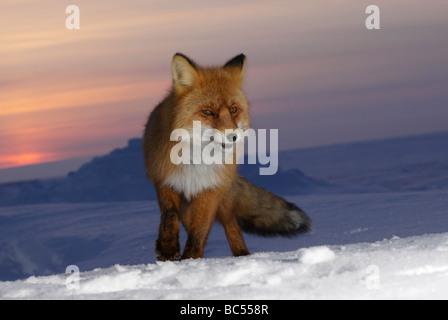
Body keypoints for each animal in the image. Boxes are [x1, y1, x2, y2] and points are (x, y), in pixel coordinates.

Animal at [144, 52, 312, 262]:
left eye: (233, 109)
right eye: (208, 112)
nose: (234, 136)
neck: (197, 161)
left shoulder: (210, 190)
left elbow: (199, 231)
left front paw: (191, 259)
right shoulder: (166, 180)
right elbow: (169, 215)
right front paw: (168, 249)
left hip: (223, 199)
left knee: (231, 224)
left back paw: (241, 255)